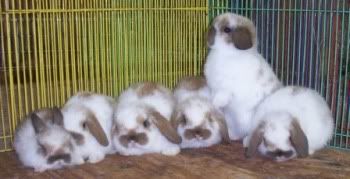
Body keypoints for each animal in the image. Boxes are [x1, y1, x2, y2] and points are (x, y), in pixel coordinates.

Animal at [202, 13, 282, 141]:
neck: (228, 53)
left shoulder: (225, 90)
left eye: (227, 29)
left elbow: (220, 98)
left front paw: (214, 104)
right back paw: (232, 135)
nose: (210, 31)